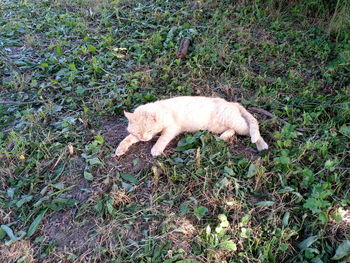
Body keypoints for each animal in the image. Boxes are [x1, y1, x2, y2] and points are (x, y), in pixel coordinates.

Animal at [113, 96, 268, 157]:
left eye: (149, 130)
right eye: (139, 132)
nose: (144, 139)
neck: (160, 109)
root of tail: (232, 103)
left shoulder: (172, 128)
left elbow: (163, 138)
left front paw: (156, 148)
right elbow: (128, 138)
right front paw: (120, 148)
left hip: (234, 122)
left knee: (252, 127)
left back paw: (261, 145)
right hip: (217, 127)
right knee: (232, 130)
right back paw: (224, 137)